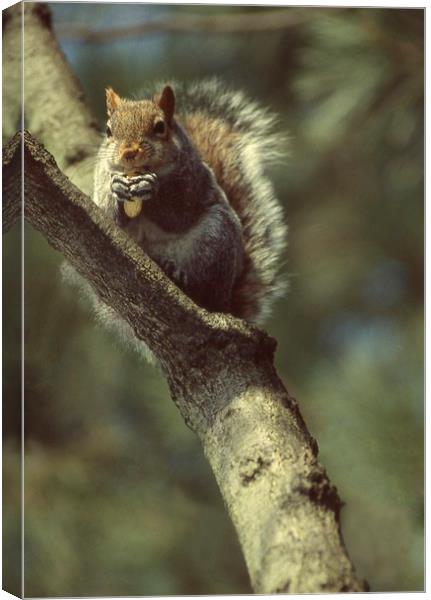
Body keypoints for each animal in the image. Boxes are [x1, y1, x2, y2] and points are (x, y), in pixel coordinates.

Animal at [93, 79, 288, 326]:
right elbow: (107, 217)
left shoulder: (193, 180)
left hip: (215, 239)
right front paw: (117, 188)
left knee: (206, 287)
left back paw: (180, 276)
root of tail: (227, 302)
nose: (129, 152)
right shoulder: (101, 178)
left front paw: (151, 188)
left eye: (160, 127)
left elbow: (180, 214)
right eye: (109, 130)